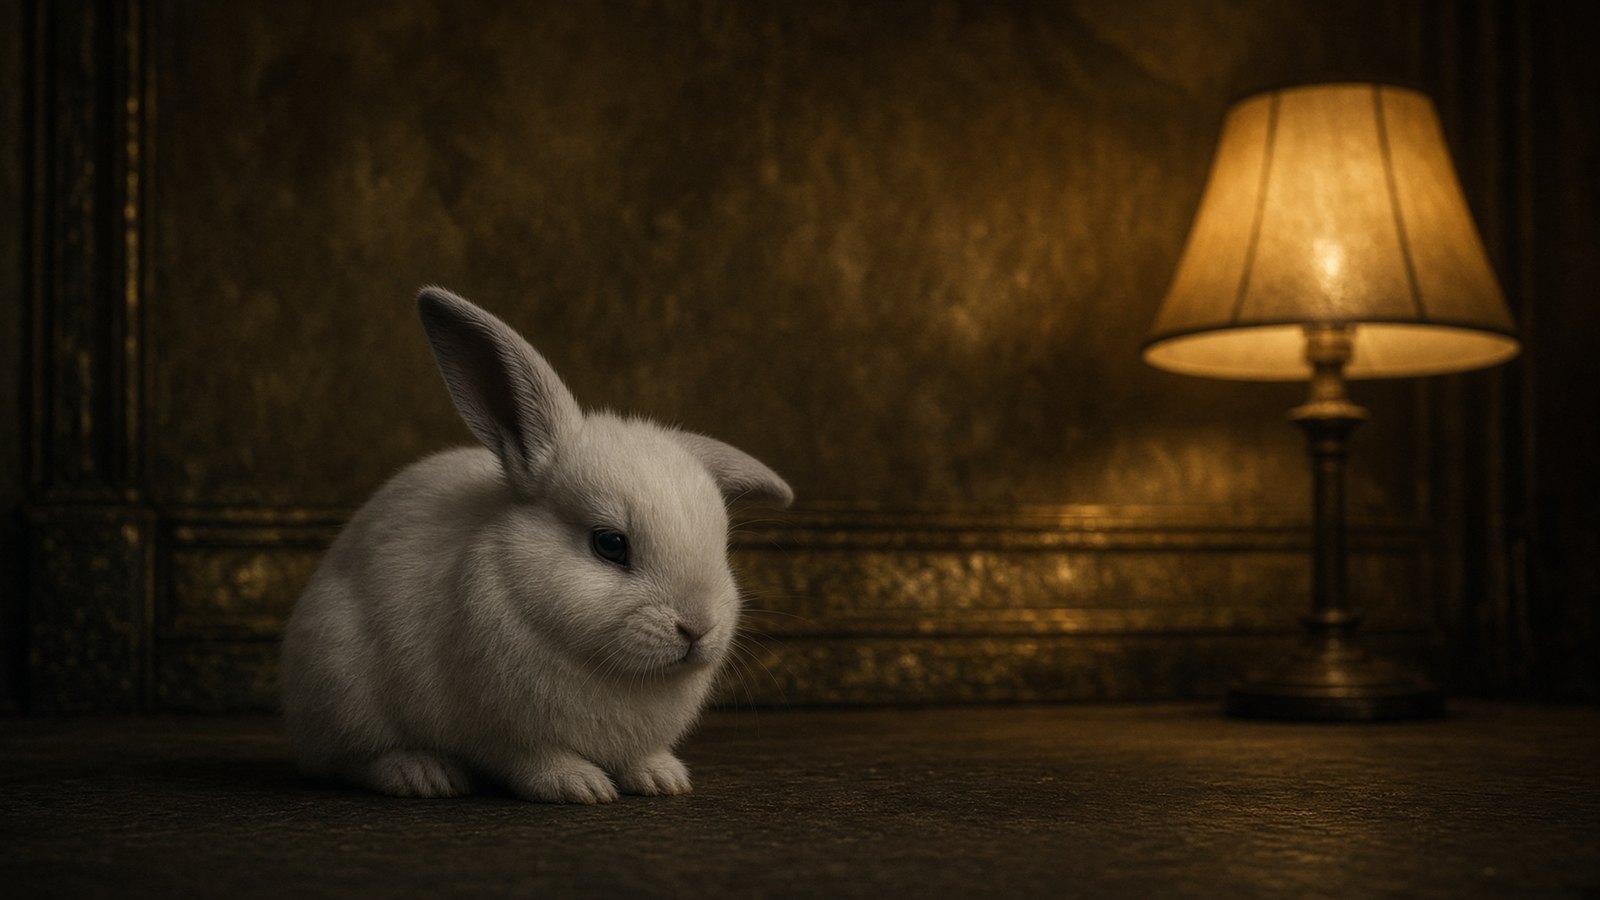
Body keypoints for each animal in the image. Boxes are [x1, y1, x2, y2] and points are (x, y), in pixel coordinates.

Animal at [279, 287, 793, 804]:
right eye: (610, 544)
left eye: (722, 544)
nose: (698, 628)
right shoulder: (505, 734)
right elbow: (533, 760)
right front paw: (581, 786)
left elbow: (639, 757)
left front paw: (662, 777)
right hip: (341, 689)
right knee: (347, 760)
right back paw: (421, 773)